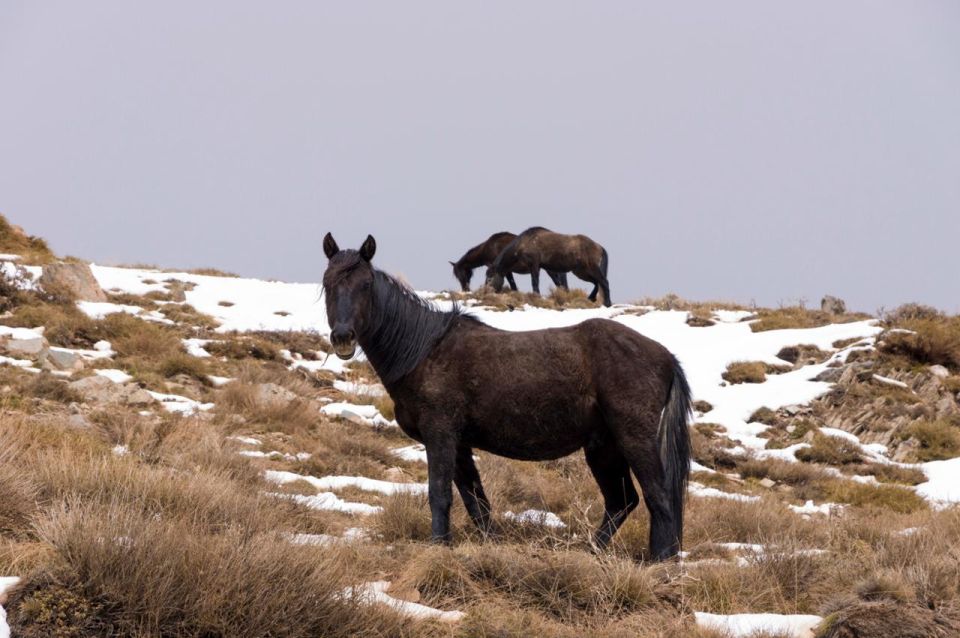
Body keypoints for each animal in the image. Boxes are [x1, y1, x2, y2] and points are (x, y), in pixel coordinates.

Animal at [484, 229, 612, 308]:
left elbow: (535, 282)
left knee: (604, 282)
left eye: (490, 278)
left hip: (591, 268)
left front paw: (537, 297)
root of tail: (598, 246)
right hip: (581, 272)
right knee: (597, 283)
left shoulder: (534, 265)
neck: (524, 243)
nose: (485, 292)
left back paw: (607, 303)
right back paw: (591, 298)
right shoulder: (543, 268)